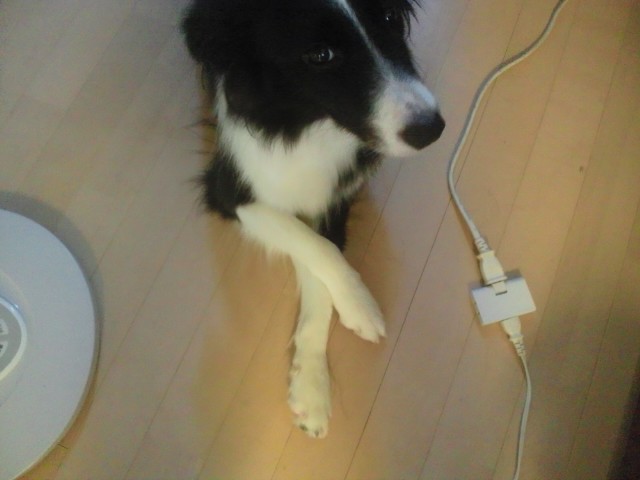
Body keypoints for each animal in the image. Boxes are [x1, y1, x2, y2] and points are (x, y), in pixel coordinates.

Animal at [182, 0, 444, 438]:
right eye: (320, 55)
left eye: (390, 19)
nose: (431, 130)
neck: (309, 125)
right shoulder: (232, 190)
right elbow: (312, 245)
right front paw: (360, 305)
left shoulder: (335, 195)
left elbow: (319, 264)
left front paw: (311, 386)